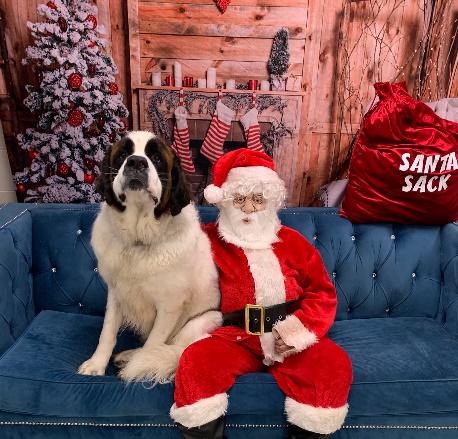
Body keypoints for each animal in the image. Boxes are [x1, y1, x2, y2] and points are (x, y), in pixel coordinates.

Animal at [78, 131, 221, 383]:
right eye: (123, 155)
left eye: (156, 158)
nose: (136, 162)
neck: (139, 240)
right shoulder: (116, 293)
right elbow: (107, 332)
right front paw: (96, 364)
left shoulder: (169, 306)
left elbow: (154, 343)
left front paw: (139, 365)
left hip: (209, 318)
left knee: (172, 346)